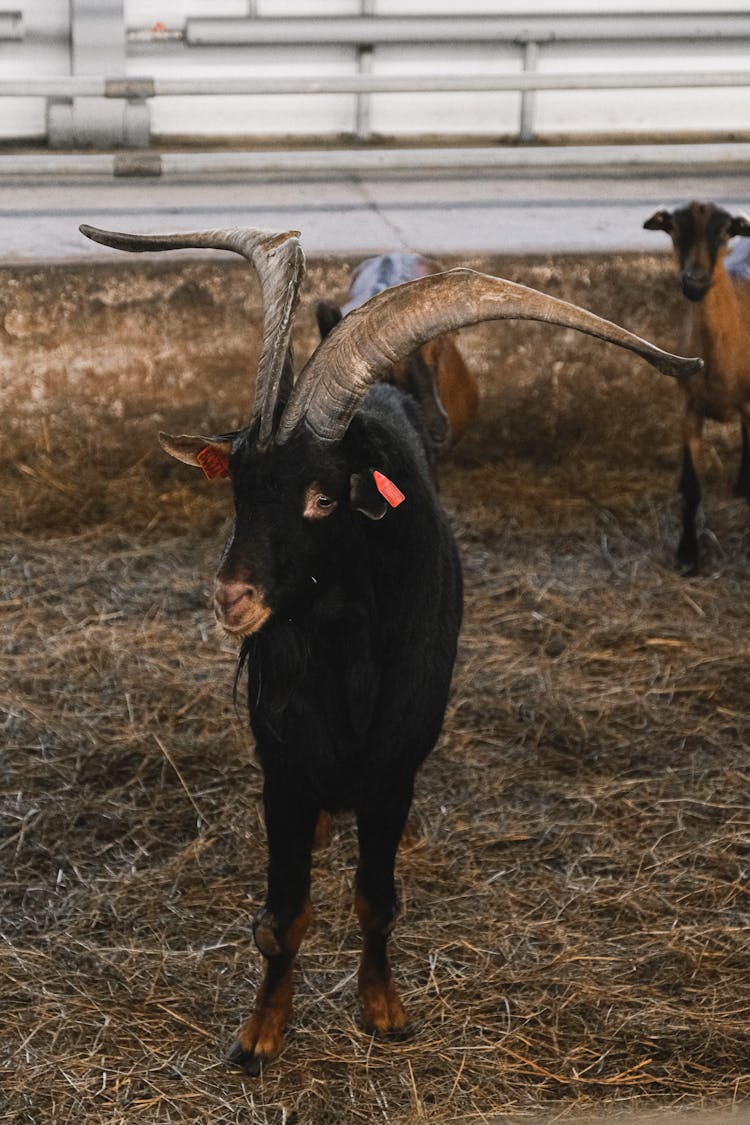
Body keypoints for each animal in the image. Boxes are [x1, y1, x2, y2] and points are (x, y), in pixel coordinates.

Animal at [647, 200, 750, 571]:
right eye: (674, 229)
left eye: (724, 231)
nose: (695, 282)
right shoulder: (688, 408)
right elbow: (690, 487)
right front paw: (688, 554)